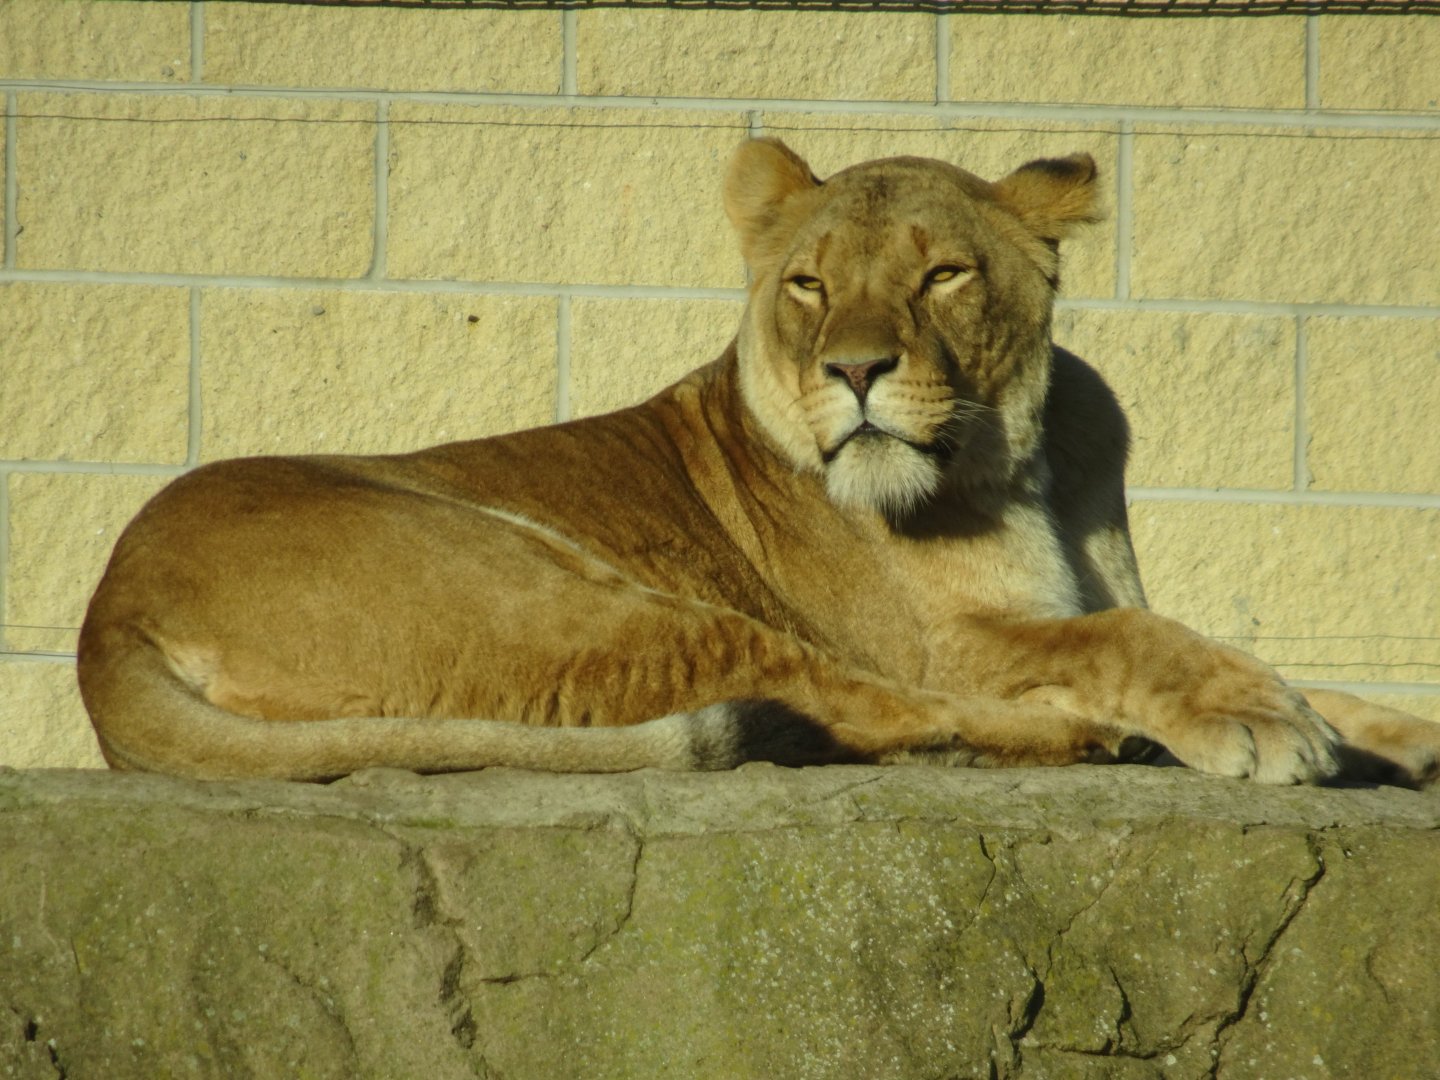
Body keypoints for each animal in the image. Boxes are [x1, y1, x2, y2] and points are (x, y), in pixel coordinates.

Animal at [77, 137, 1439, 787]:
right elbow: (1130, 640)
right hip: (544, 584)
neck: (1028, 460)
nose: (857, 370)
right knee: (839, 699)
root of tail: (105, 620)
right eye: (809, 285)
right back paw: (1095, 738)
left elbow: (1260, 652)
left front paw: (1386, 730)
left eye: (944, 273)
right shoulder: (950, 640)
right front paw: (1252, 723)